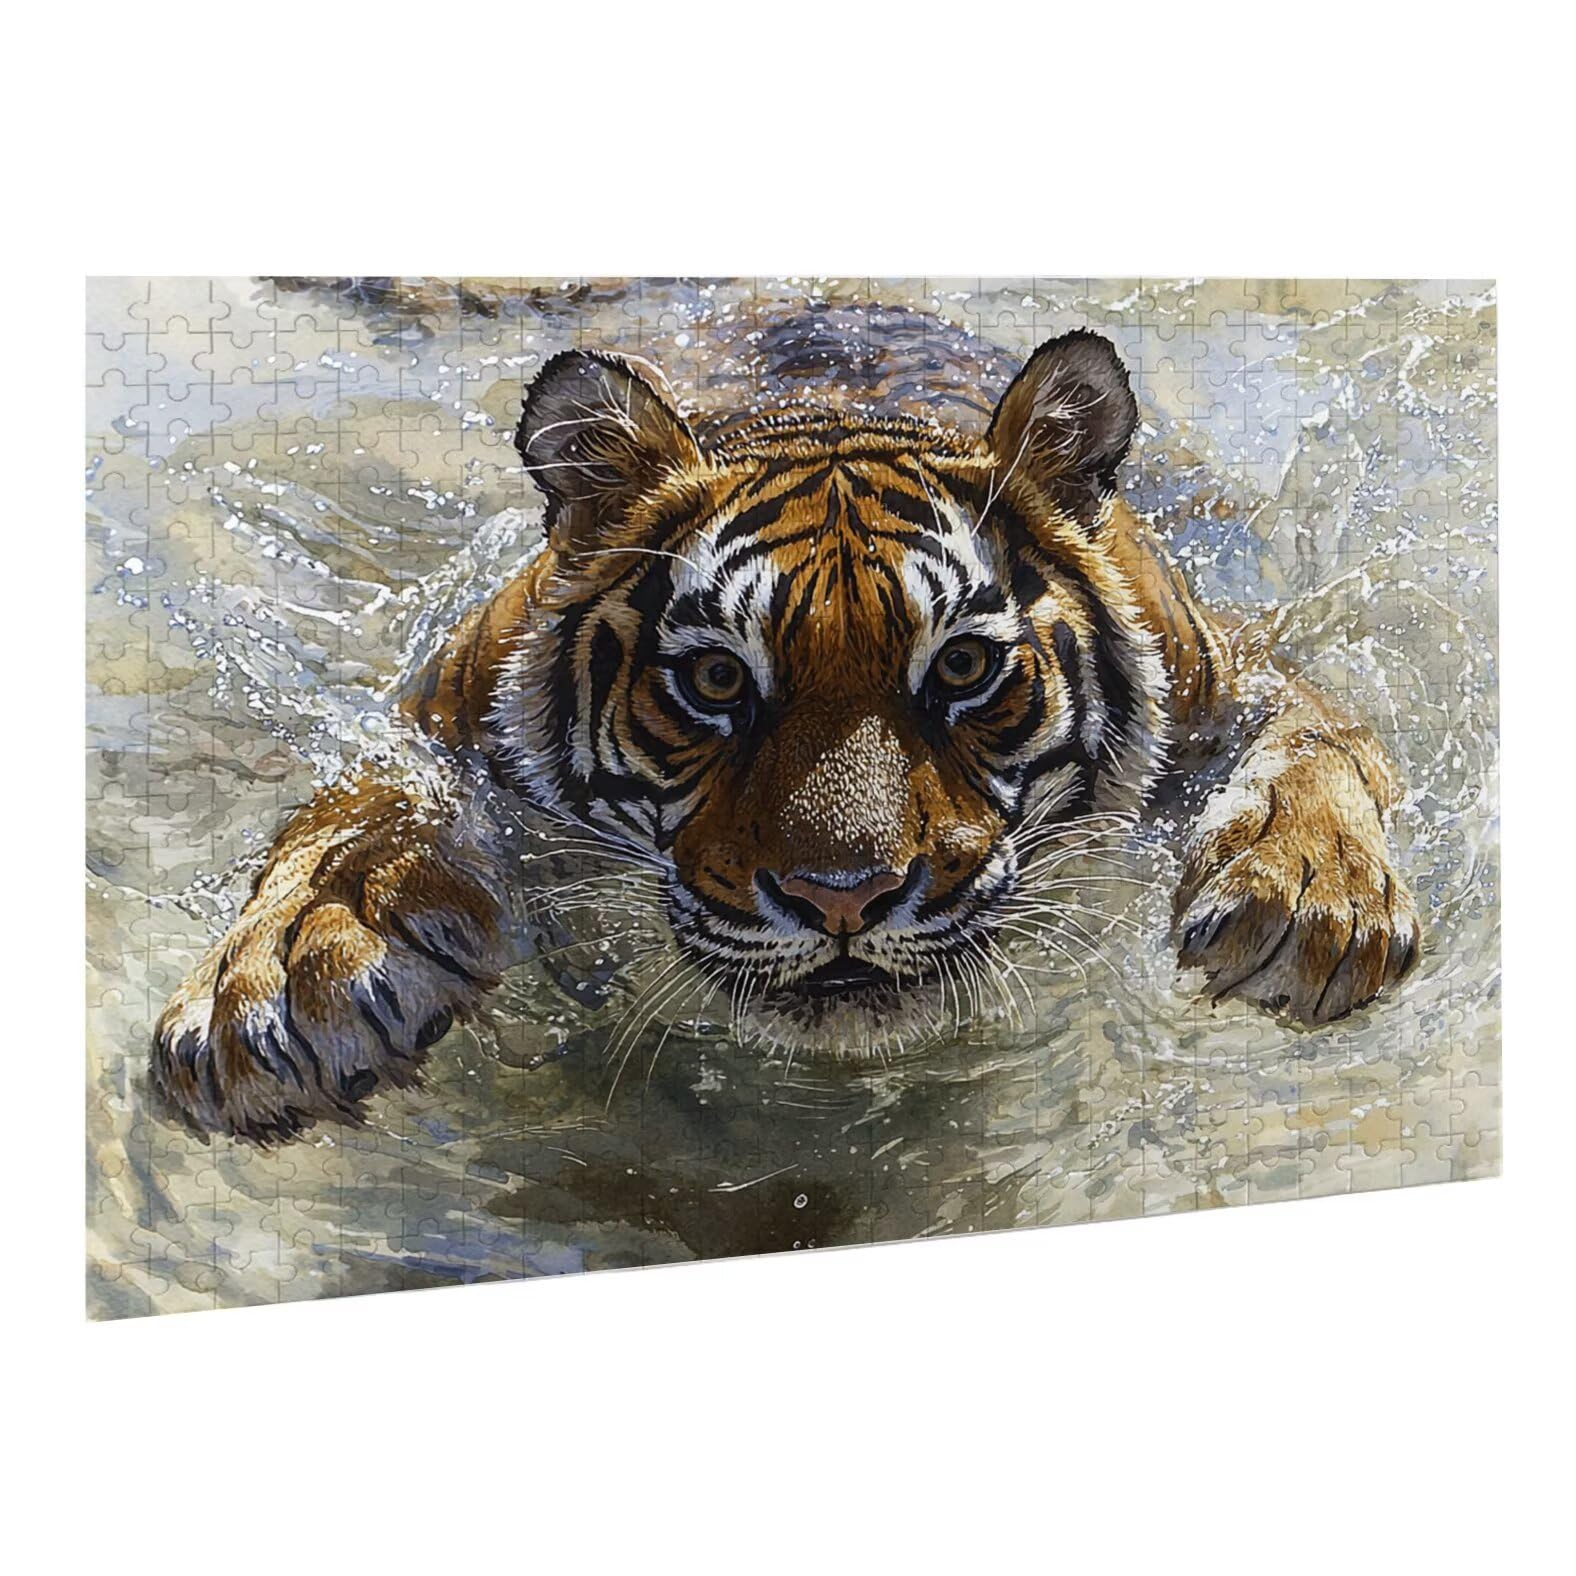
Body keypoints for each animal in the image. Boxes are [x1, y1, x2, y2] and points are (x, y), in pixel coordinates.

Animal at [152, 330, 1421, 1143]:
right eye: (717, 678)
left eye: (962, 666)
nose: (841, 899)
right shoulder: (437, 716)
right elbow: (356, 814)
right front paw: (279, 990)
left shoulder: (1239, 675)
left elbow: (1318, 750)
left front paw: (1309, 904)